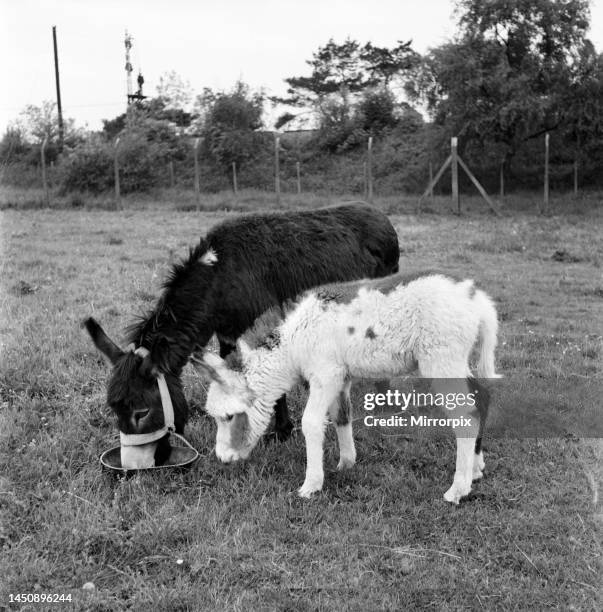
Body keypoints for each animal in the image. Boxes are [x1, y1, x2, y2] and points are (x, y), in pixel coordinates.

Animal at [198, 272, 500, 502]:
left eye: (229, 417)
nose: (222, 457)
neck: (293, 343)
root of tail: (478, 303)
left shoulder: (325, 374)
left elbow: (311, 423)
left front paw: (310, 485)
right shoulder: (341, 376)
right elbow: (342, 416)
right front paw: (346, 463)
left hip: (441, 359)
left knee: (466, 416)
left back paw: (457, 490)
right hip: (456, 360)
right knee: (481, 399)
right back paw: (476, 469)